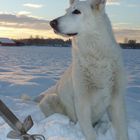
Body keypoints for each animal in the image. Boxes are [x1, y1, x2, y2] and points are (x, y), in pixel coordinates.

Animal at [39, 0, 128, 140]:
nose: (52, 23)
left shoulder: (117, 101)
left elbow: (123, 132)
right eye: (66, 11)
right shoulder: (82, 102)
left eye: (76, 11)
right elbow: (91, 134)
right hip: (50, 100)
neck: (96, 57)